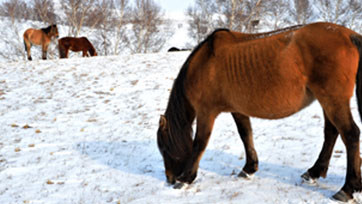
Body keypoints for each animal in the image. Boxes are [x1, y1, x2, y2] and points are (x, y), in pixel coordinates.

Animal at [157, 22, 362, 202]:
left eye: (165, 148)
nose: (170, 179)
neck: (204, 63)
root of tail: (349, 35)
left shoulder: (206, 112)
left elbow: (200, 143)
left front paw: (186, 179)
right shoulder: (237, 110)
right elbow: (245, 134)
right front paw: (249, 168)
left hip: (332, 99)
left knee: (350, 134)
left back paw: (347, 189)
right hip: (327, 100)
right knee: (332, 133)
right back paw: (315, 172)